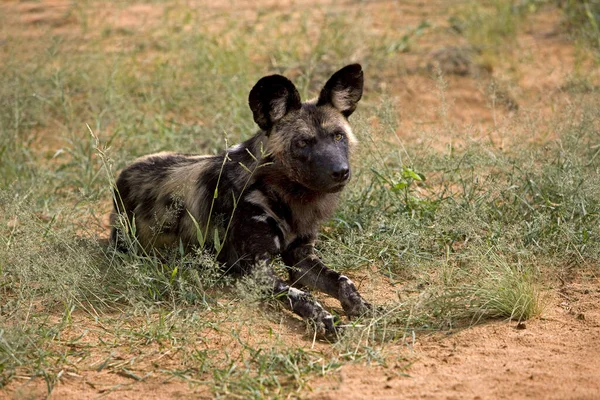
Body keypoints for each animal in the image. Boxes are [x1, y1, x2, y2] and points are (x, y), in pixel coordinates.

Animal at [109, 64, 368, 332]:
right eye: (303, 142)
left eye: (338, 136)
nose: (340, 171)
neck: (286, 196)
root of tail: (122, 176)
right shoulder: (256, 269)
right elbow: (301, 295)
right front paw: (327, 321)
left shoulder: (301, 258)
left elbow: (343, 280)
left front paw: (362, 307)